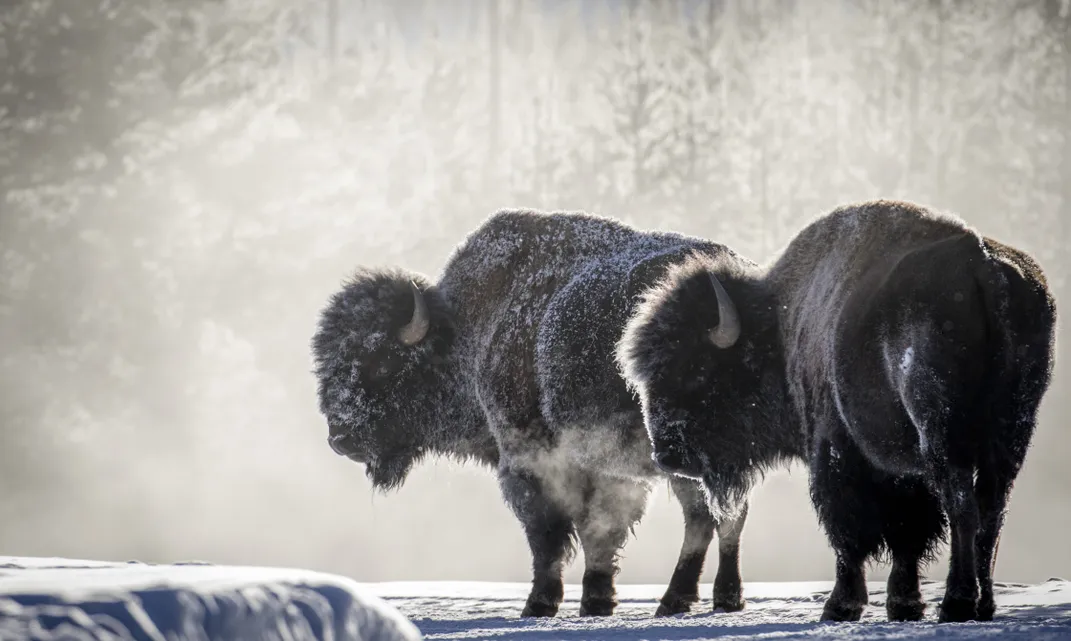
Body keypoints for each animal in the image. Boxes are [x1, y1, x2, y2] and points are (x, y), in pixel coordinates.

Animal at [312, 210, 757, 618]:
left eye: (382, 363)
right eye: (326, 364)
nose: (340, 439)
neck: (472, 331)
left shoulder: (535, 461)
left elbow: (558, 532)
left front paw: (546, 603)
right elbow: (595, 529)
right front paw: (595, 601)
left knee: (712, 515)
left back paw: (691, 598)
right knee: (715, 515)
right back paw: (706, 598)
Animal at [616, 200, 1057, 623]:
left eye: (697, 371)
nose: (667, 454)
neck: (780, 325)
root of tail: (984, 266)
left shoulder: (836, 449)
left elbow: (849, 529)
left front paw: (841, 606)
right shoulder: (899, 469)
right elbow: (907, 535)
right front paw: (904, 604)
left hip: (942, 432)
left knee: (961, 503)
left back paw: (957, 603)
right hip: (1011, 436)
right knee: (991, 512)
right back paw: (984, 605)